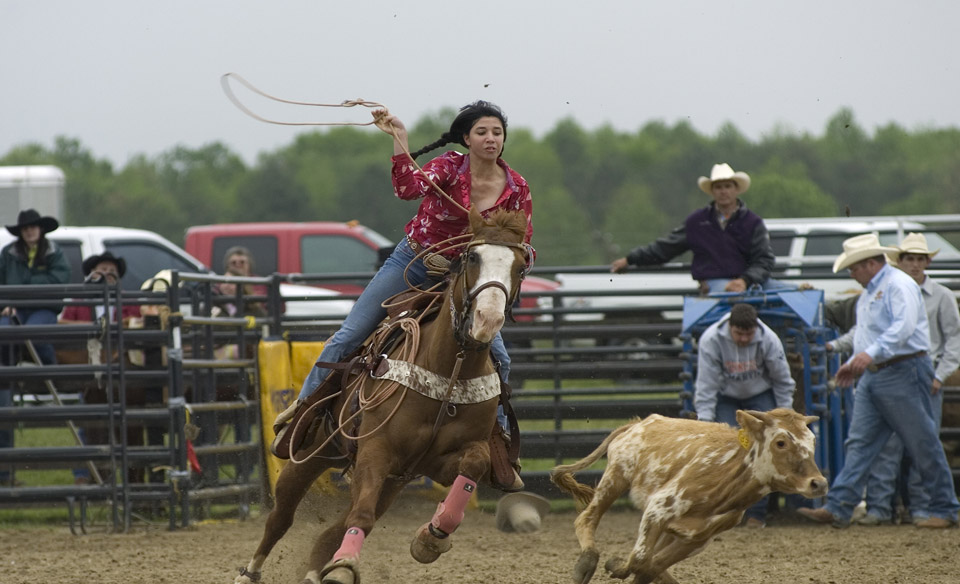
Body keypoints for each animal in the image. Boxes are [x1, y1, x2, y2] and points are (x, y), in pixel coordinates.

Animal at [234, 210, 532, 584]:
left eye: (520, 267)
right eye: (472, 257)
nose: (487, 319)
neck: (448, 372)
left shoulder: (441, 463)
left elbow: (473, 465)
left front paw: (431, 538)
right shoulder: (377, 449)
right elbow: (359, 516)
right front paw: (345, 566)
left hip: (392, 482)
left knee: (334, 528)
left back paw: (317, 570)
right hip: (311, 453)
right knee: (281, 519)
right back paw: (250, 572)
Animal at [552, 408, 828, 584]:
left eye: (813, 442)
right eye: (781, 442)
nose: (819, 483)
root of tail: (640, 423)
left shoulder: (697, 539)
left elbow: (649, 565)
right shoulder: (657, 510)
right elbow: (640, 559)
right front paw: (615, 565)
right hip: (615, 477)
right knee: (586, 519)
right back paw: (585, 565)